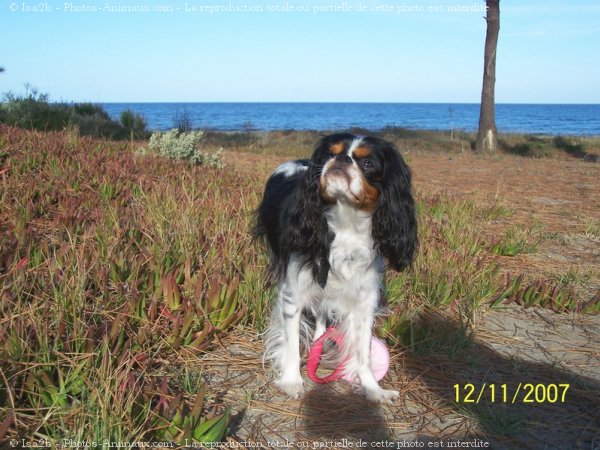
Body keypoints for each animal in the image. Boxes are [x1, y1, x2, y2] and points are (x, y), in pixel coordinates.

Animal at [253, 132, 418, 402]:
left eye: (367, 163)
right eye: (330, 154)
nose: (341, 159)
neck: (346, 224)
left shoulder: (364, 300)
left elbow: (363, 352)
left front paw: (373, 389)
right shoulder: (293, 293)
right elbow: (291, 342)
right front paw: (291, 381)